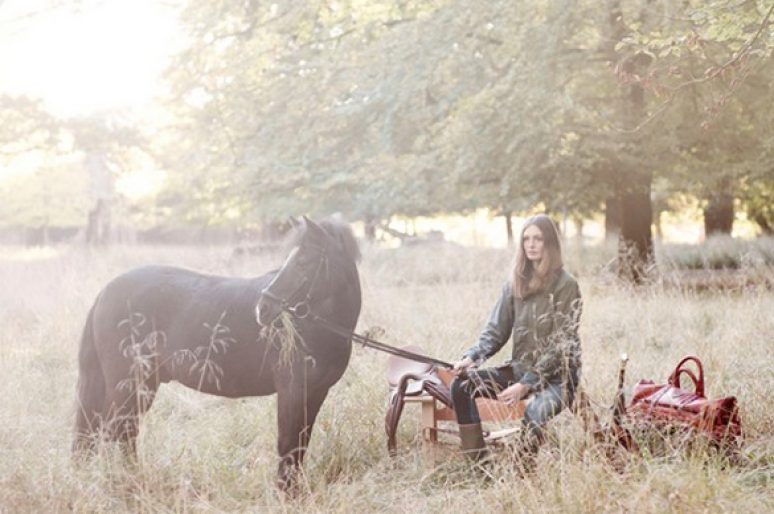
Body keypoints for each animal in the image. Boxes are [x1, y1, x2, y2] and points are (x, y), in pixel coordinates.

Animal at [74, 216, 362, 488]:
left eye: (304, 260)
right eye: (291, 259)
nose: (263, 308)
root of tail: (105, 292)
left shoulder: (315, 392)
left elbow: (300, 444)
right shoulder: (291, 390)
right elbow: (288, 444)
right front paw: (286, 492)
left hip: (143, 385)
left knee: (121, 431)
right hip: (127, 384)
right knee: (113, 430)